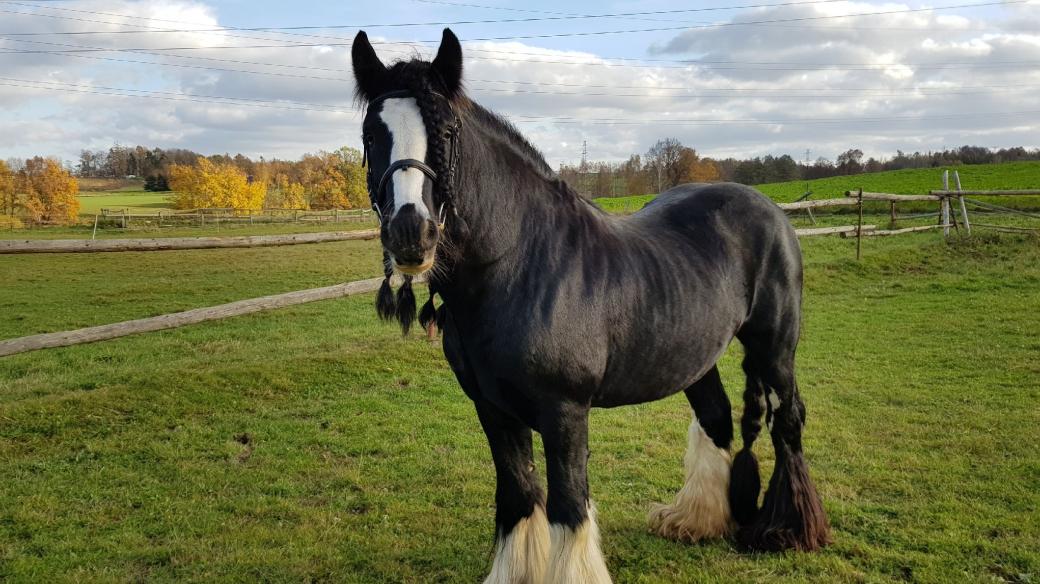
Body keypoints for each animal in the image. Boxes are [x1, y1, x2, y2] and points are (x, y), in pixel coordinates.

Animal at [353, 28, 832, 581]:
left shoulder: (564, 412)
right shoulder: (492, 409)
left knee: (788, 420)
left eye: (447, 132)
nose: (412, 233)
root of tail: (770, 209)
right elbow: (518, 495)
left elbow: (568, 506)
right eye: (371, 135)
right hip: (696, 355)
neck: (519, 263)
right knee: (716, 418)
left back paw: (789, 531)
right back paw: (695, 520)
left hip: (775, 347)